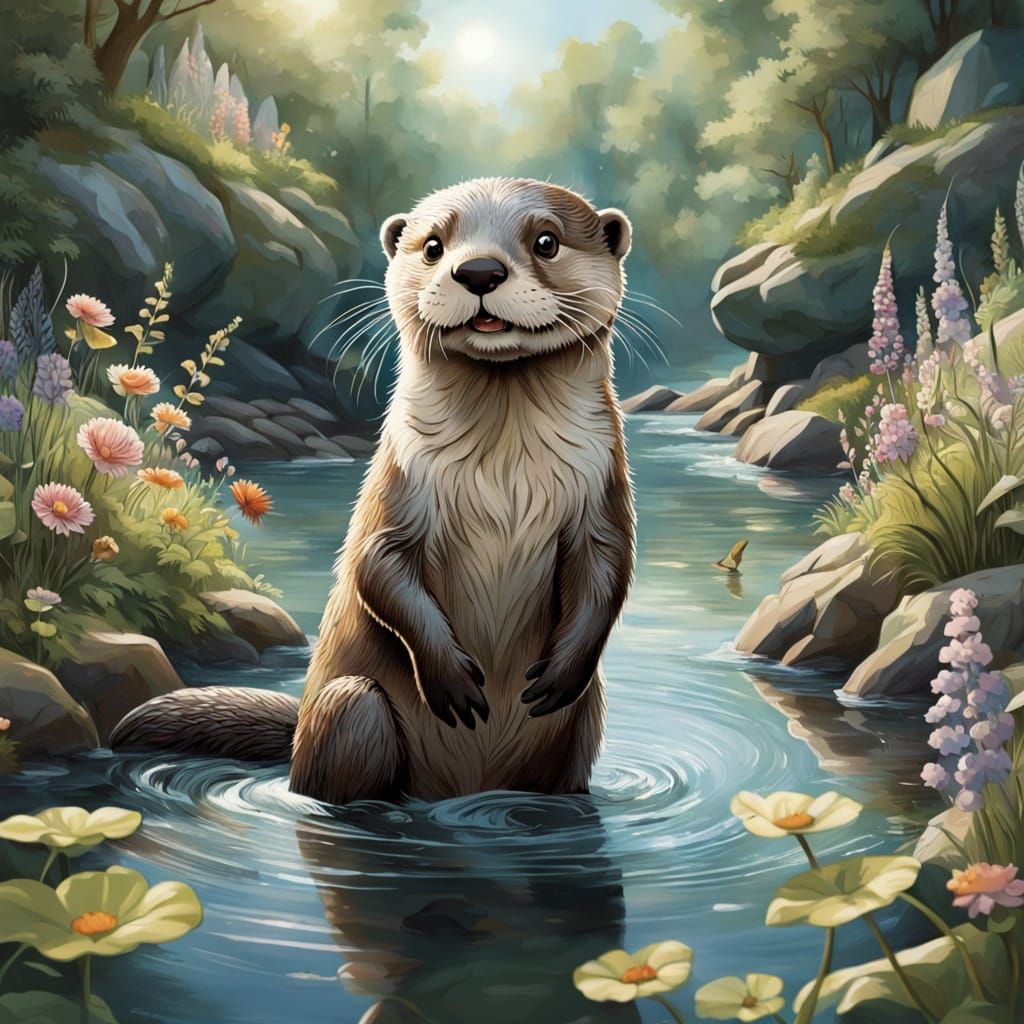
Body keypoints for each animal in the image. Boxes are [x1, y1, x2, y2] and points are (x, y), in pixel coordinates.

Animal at [111, 177, 636, 804]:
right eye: (433, 245)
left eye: (547, 241)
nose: (479, 271)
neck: (505, 472)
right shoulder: (396, 483)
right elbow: (375, 564)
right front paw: (451, 679)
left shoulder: (601, 484)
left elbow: (609, 569)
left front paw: (559, 673)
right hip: (350, 705)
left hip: (588, 721)